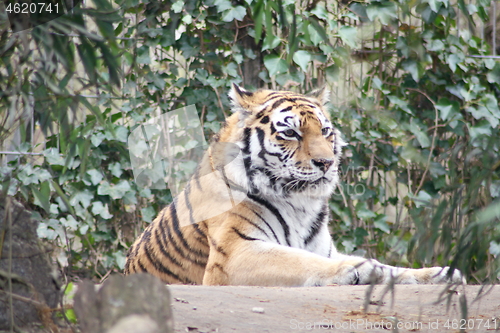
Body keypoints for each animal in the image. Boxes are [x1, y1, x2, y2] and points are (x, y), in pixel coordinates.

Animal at [125, 85, 464, 286]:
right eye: (291, 133)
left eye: (325, 131)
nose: (327, 163)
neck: (300, 201)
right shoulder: (235, 252)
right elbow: (301, 261)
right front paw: (361, 270)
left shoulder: (325, 248)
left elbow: (393, 267)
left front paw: (438, 274)